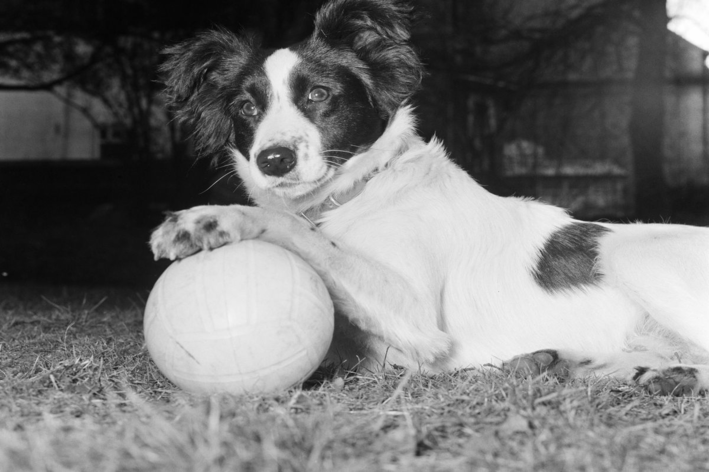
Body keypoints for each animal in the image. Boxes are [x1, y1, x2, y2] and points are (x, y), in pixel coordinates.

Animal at [152, 0, 708, 394]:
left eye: (318, 95)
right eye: (246, 108)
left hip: (629, 251)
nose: (273, 160)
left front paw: (208, 219)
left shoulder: (416, 316)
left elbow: (297, 231)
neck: (357, 194)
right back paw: (554, 364)